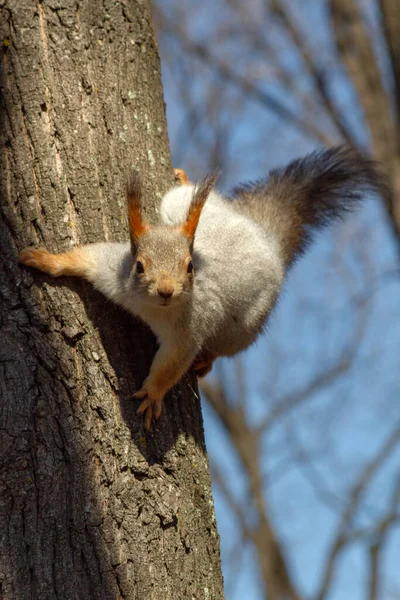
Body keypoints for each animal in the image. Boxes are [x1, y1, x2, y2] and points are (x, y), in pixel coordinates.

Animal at [19, 146, 388, 428]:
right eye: (140, 266)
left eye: (189, 267)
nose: (166, 291)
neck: (152, 309)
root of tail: (262, 234)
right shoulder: (114, 273)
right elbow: (85, 258)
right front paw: (48, 260)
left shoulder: (189, 330)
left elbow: (173, 363)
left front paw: (153, 393)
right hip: (177, 206)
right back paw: (184, 178)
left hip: (244, 325)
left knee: (224, 345)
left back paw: (208, 360)